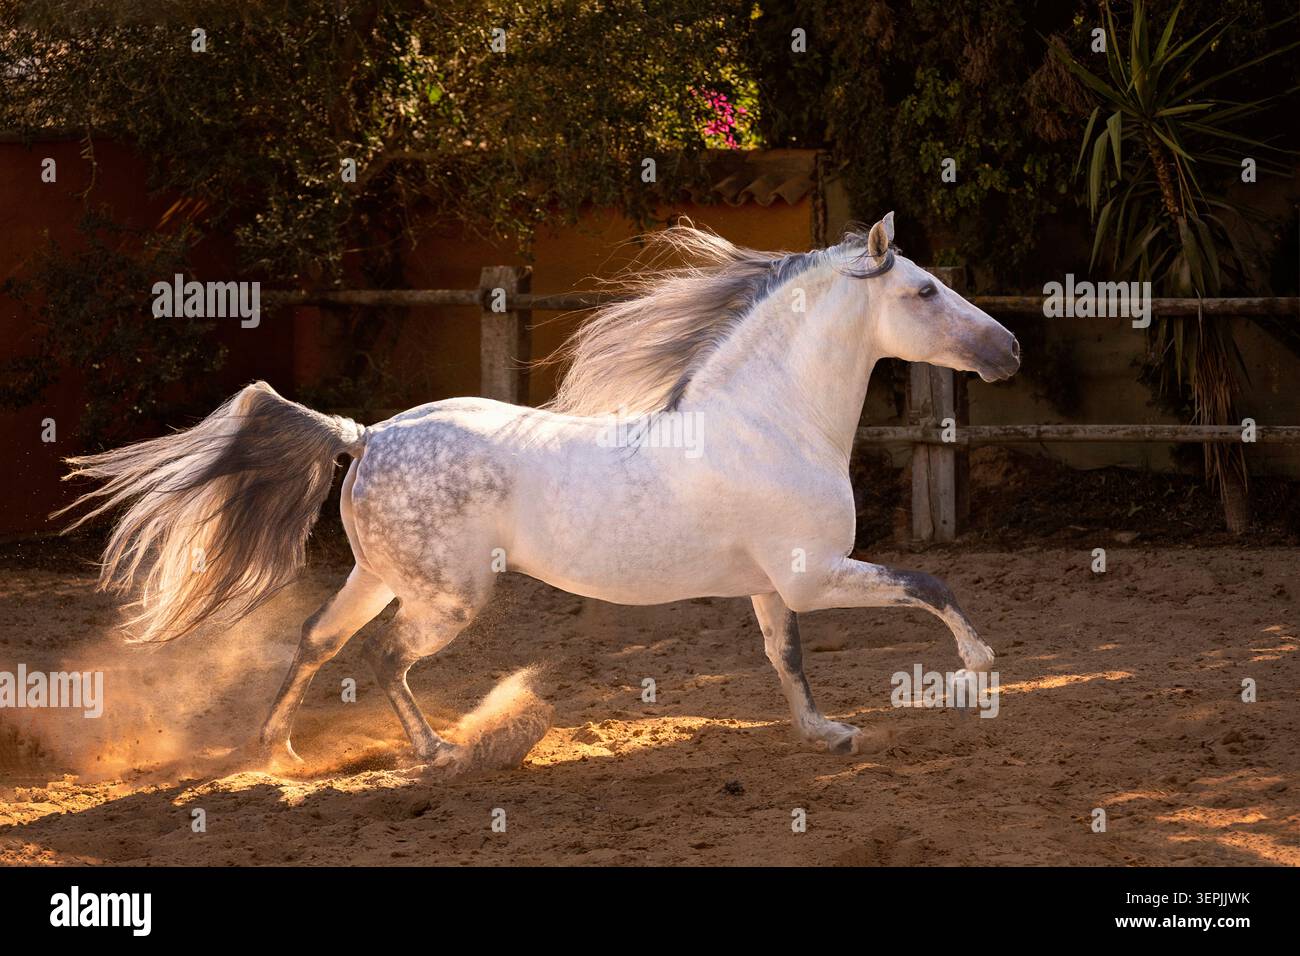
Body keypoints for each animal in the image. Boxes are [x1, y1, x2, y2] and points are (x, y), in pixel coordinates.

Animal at [59, 212, 1019, 767]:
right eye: (924, 290)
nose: (1008, 349)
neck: (770, 421)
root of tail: (365, 437)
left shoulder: (775, 585)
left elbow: (787, 659)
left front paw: (825, 734)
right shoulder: (815, 574)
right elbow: (928, 583)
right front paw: (979, 673)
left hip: (380, 577)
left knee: (319, 640)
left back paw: (277, 750)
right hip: (448, 597)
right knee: (384, 660)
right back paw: (438, 753)